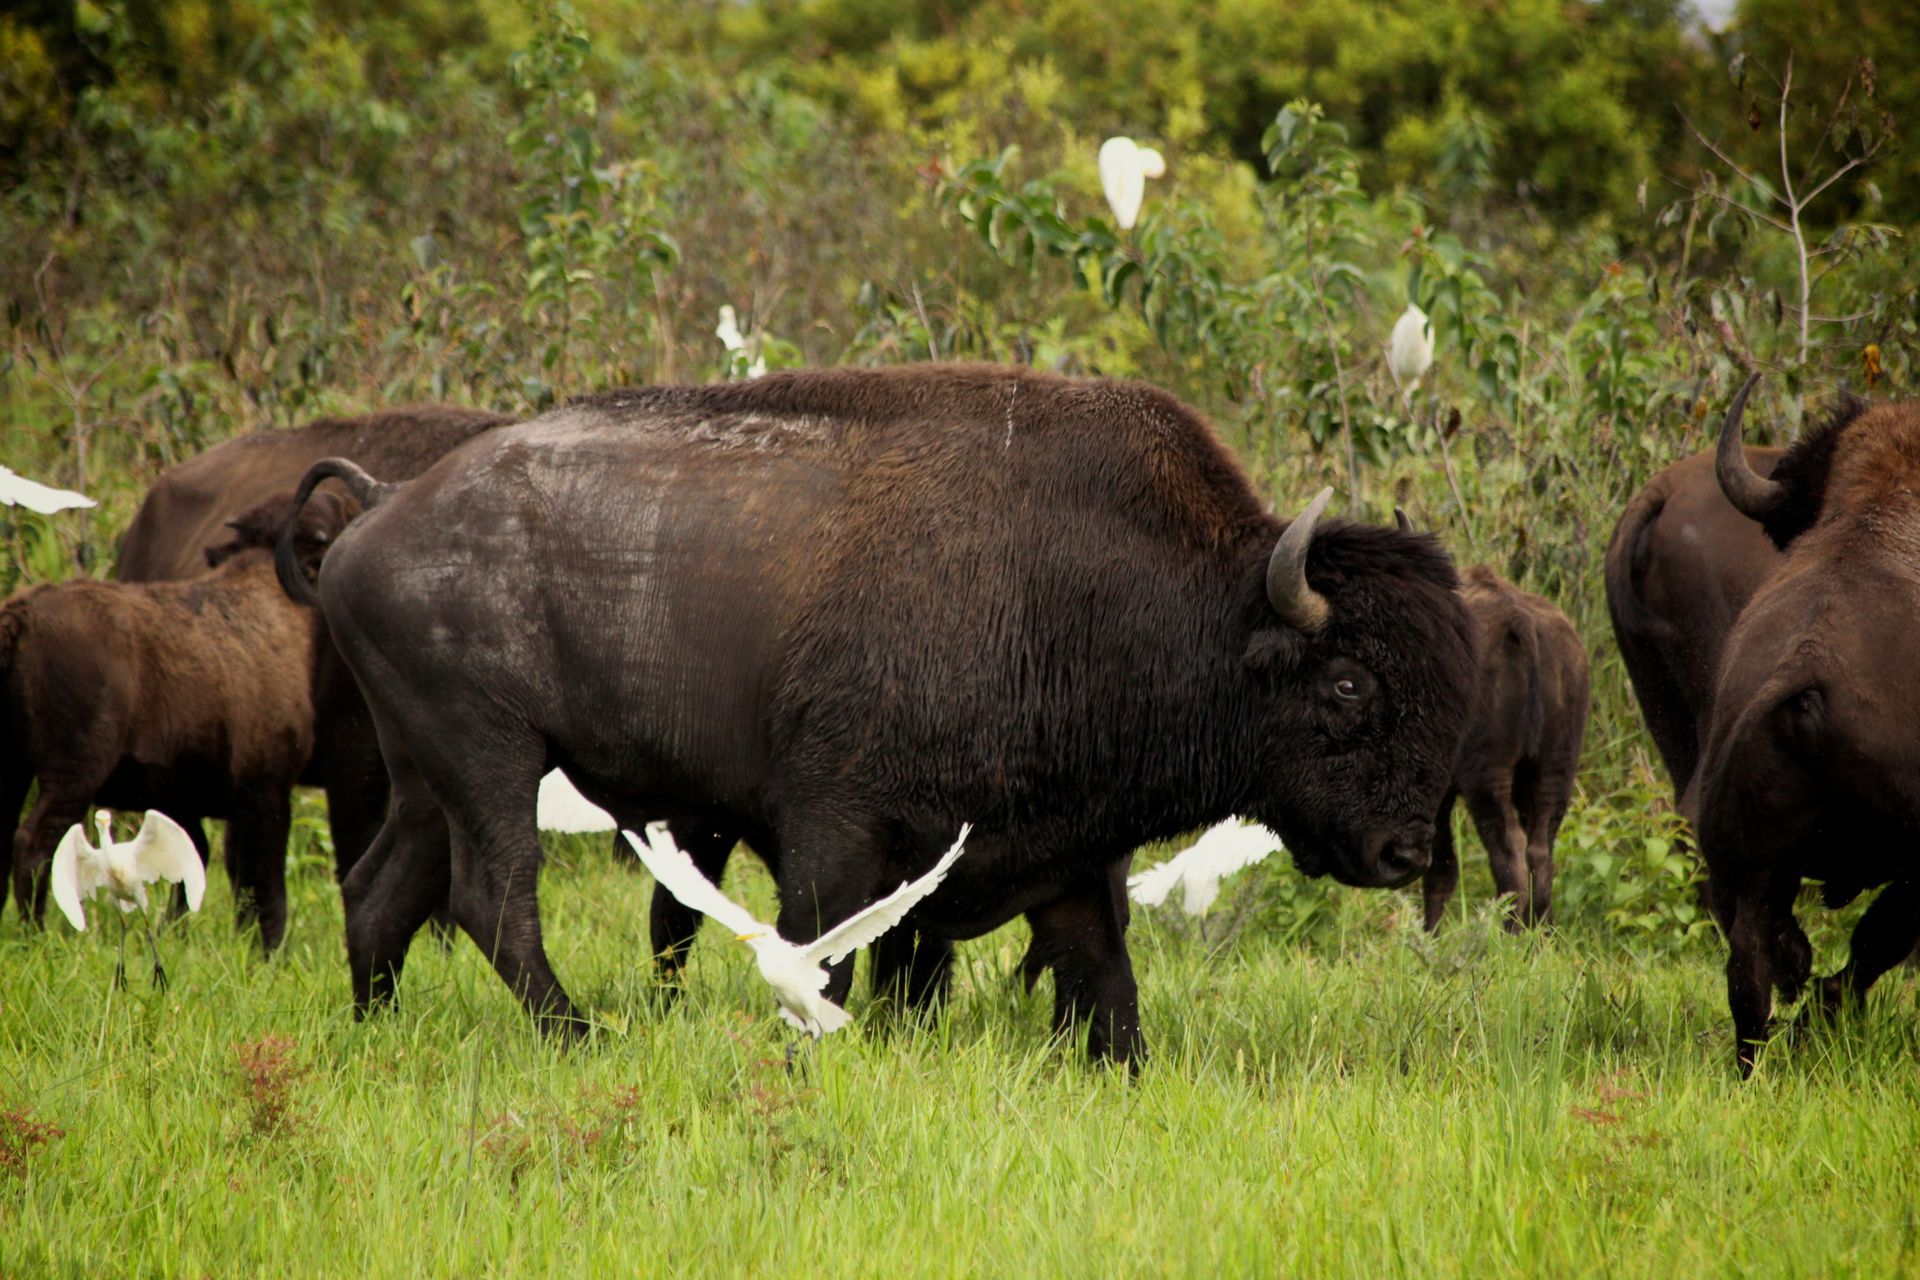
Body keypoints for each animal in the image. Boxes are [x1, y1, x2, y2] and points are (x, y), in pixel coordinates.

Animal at [2, 492, 357, 947]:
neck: (271, 597)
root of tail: (21, 615)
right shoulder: (268, 790)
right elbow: (268, 888)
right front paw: (270, 951)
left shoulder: (185, 798)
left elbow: (194, 870)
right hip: (72, 775)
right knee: (35, 843)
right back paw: (38, 935)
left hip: (14, 769)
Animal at [280, 364, 1478, 1063]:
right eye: (1349, 684)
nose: (1406, 849)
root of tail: (382, 507)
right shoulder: (836, 830)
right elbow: (827, 956)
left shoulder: (1067, 855)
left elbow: (1105, 979)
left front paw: (1121, 1069)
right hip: (492, 754)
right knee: (495, 894)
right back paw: (581, 1039)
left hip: (425, 771)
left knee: (382, 889)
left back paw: (376, 1031)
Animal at [1421, 564, 1589, 931]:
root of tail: (1520, 621)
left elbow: (1439, 865)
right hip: (1553, 768)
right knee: (1540, 851)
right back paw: (1540, 933)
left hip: (1486, 777)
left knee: (1509, 852)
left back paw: (1506, 932)